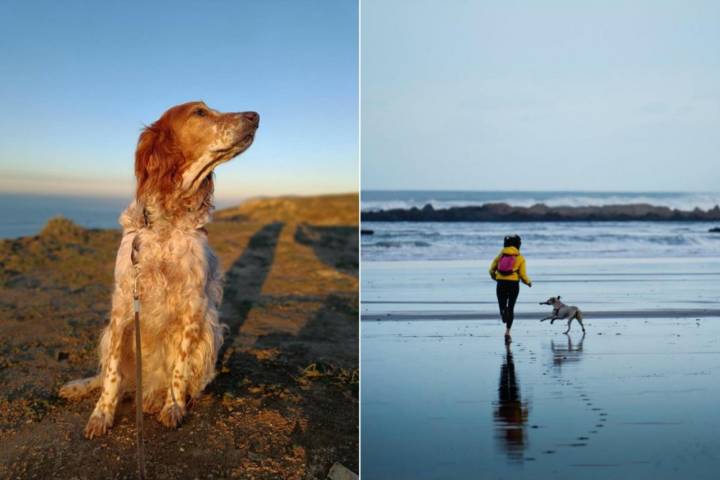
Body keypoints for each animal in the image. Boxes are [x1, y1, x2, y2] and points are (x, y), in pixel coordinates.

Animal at [61, 102, 258, 438]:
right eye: (200, 112)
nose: (255, 116)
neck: (167, 221)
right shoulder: (122, 310)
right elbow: (111, 375)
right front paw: (101, 414)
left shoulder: (193, 309)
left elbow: (179, 368)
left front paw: (173, 407)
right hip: (110, 335)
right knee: (112, 376)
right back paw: (81, 387)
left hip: (211, 332)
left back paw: (157, 400)